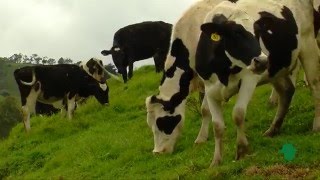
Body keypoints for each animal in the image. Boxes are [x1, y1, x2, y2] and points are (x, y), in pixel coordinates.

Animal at [146, 0, 318, 167]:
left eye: (161, 122)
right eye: (150, 124)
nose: (157, 152)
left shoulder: (247, 79)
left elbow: (217, 112)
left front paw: (204, 139)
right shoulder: (210, 86)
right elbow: (213, 119)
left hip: (308, 45)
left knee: (314, 85)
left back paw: (316, 125)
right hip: (277, 68)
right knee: (287, 91)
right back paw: (272, 129)